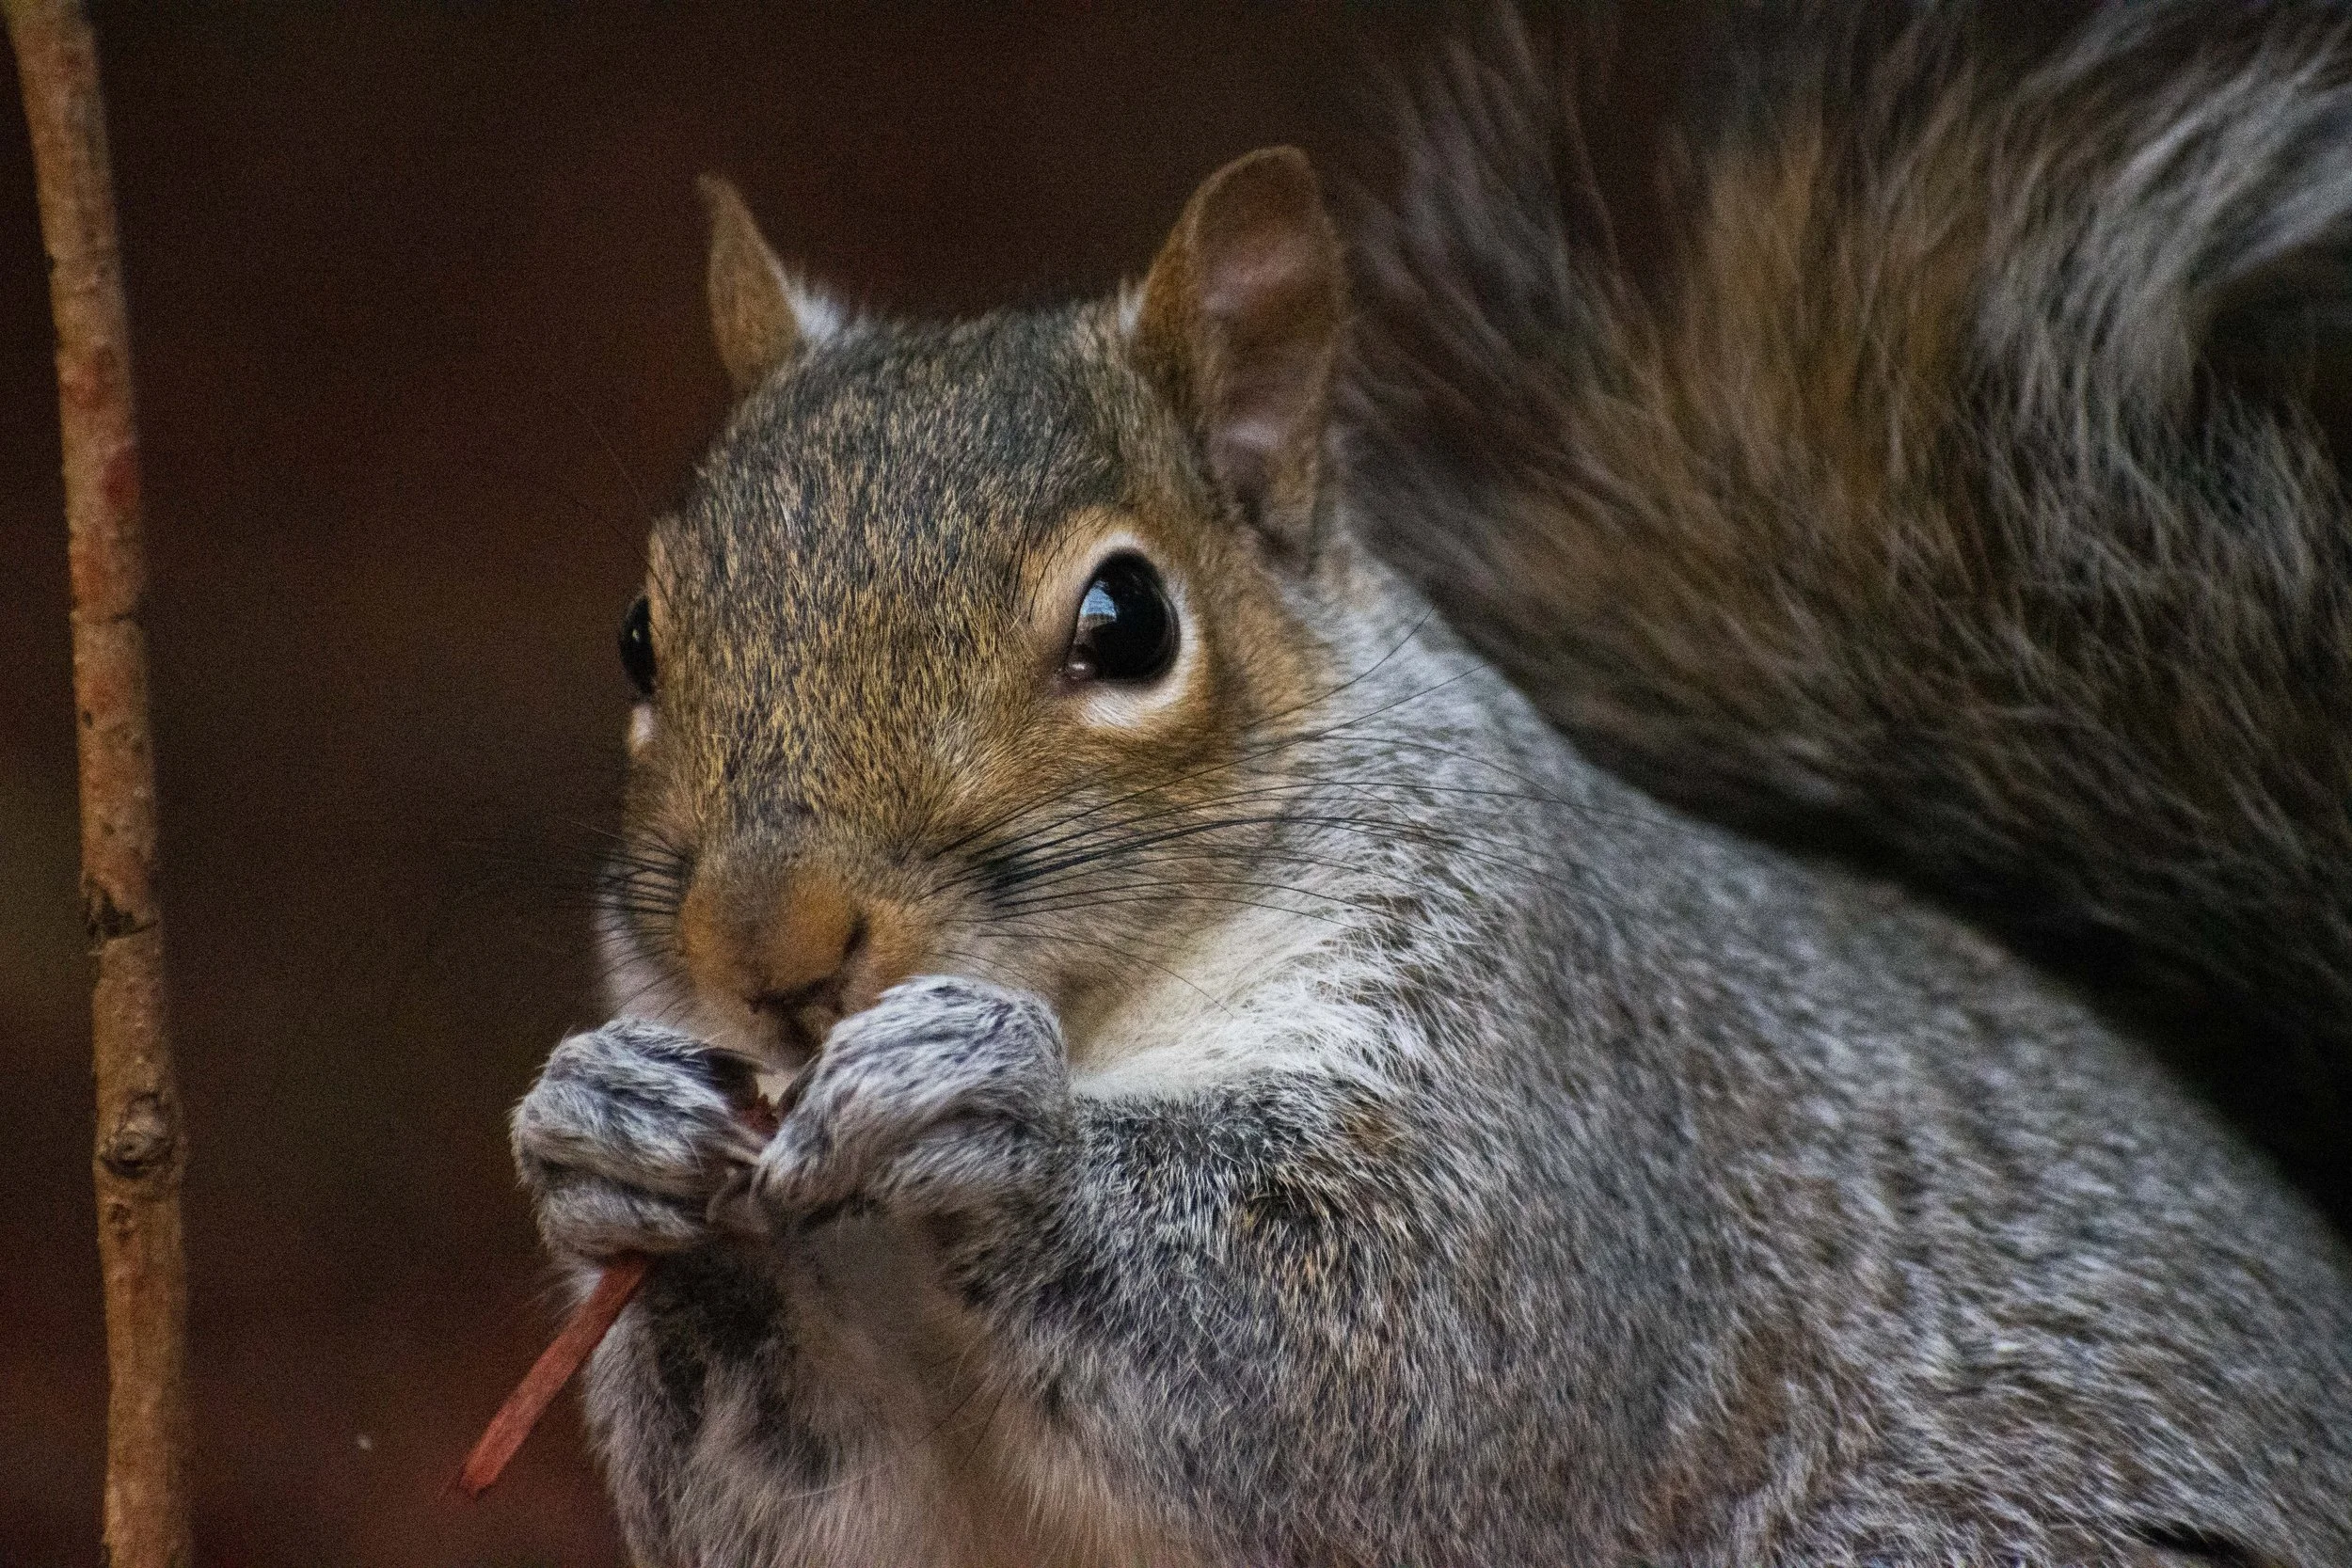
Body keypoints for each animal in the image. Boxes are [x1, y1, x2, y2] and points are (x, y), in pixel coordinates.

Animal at [510, 5, 2352, 1565]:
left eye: (1127, 621)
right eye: (638, 636)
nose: (770, 943)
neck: (1104, 1005)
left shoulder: (1544, 1074)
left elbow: (1407, 1361)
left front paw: (994, 1116)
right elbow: (787, 1489)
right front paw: (606, 1136)